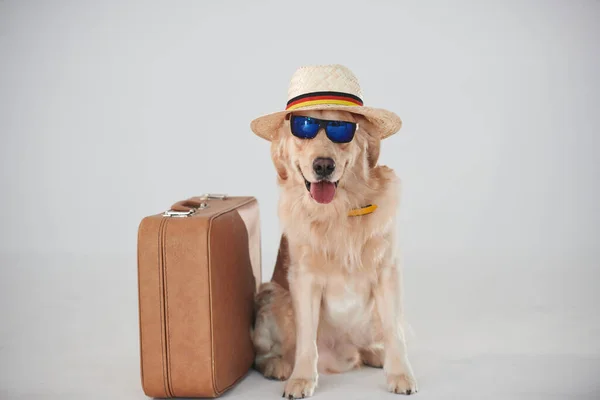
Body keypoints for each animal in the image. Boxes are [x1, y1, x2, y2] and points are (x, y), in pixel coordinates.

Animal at [250, 65, 418, 396]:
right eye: (304, 128)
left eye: (341, 130)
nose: (324, 166)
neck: (338, 211)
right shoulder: (303, 279)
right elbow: (306, 342)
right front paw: (301, 379)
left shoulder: (388, 271)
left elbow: (395, 332)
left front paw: (400, 374)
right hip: (271, 297)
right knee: (264, 355)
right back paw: (279, 365)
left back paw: (375, 354)